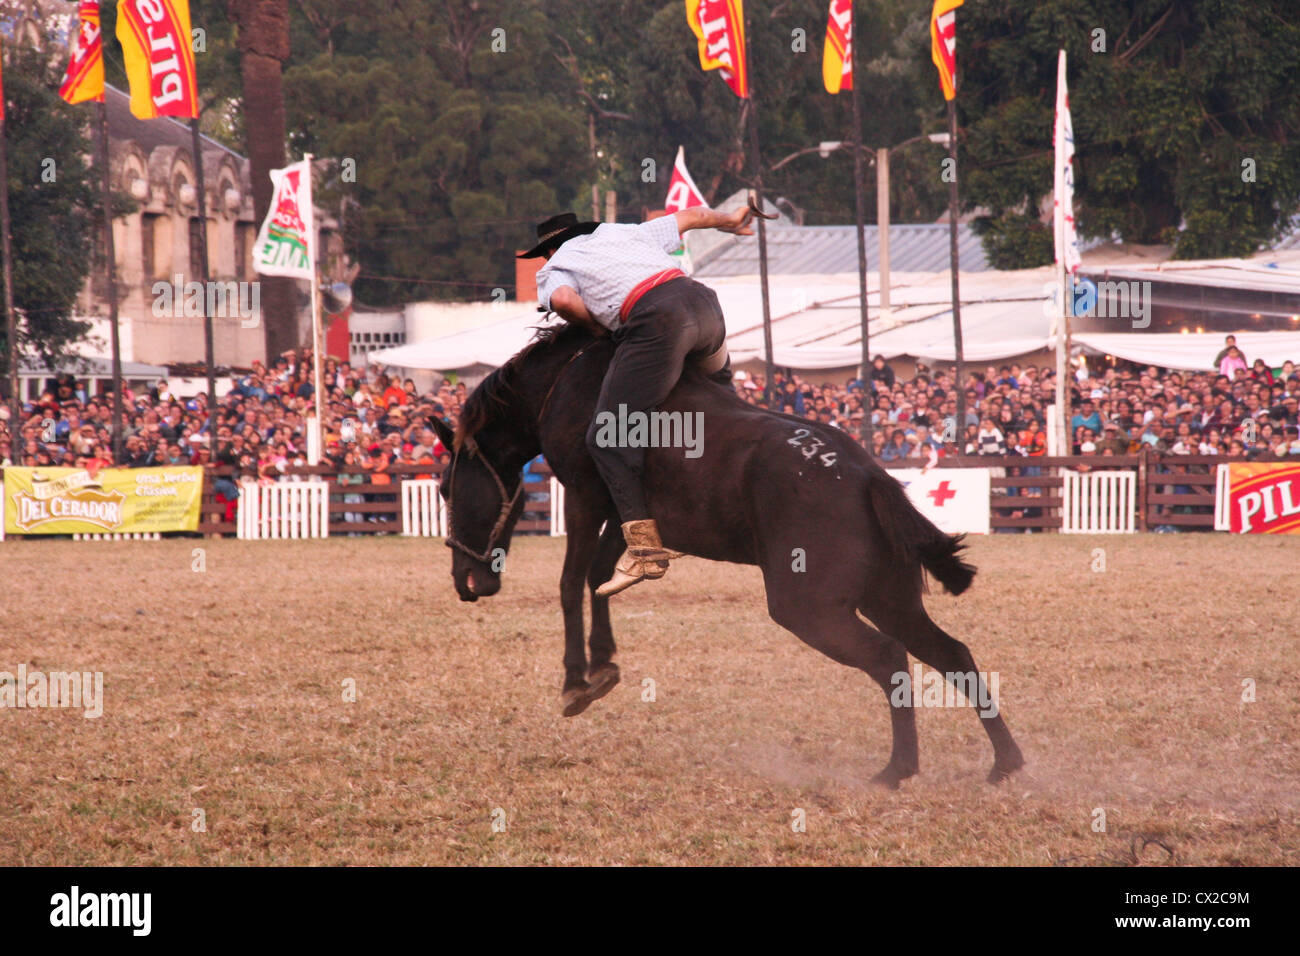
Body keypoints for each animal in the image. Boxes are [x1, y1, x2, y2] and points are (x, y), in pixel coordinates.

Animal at [428, 321, 1024, 785]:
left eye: (445, 487)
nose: (464, 580)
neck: (566, 380)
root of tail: (866, 474)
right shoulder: (627, 514)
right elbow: (602, 577)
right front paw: (603, 663)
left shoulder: (583, 494)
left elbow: (573, 581)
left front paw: (576, 679)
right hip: (890, 598)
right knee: (951, 653)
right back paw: (1005, 763)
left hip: (808, 606)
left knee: (889, 658)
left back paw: (897, 769)